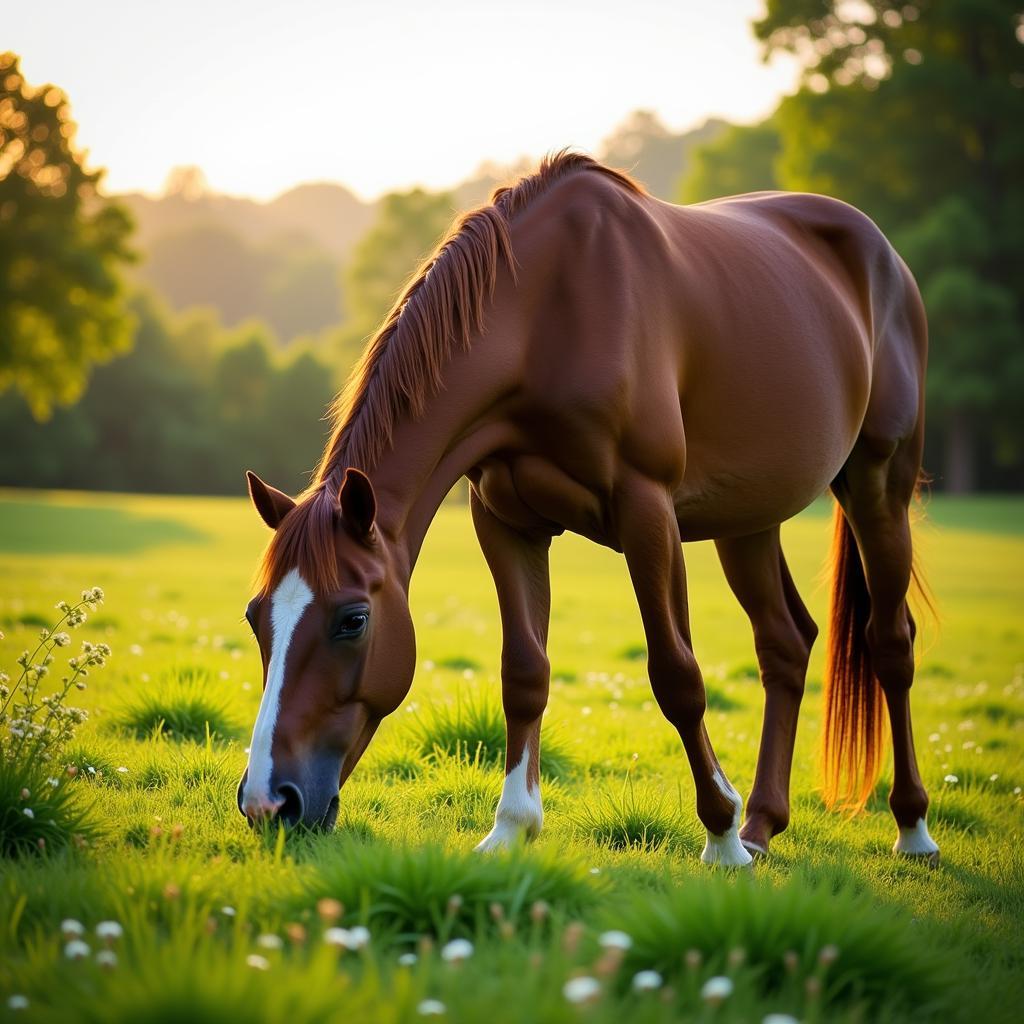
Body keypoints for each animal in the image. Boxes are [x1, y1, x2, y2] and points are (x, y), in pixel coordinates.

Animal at [235, 151, 937, 868]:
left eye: (352, 620)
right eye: (256, 617)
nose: (269, 802)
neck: (545, 315)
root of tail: (882, 254)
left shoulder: (648, 512)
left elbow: (676, 674)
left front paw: (717, 832)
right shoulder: (505, 521)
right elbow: (524, 671)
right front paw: (512, 826)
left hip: (878, 486)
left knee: (890, 643)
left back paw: (909, 828)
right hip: (750, 519)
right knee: (785, 644)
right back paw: (762, 825)